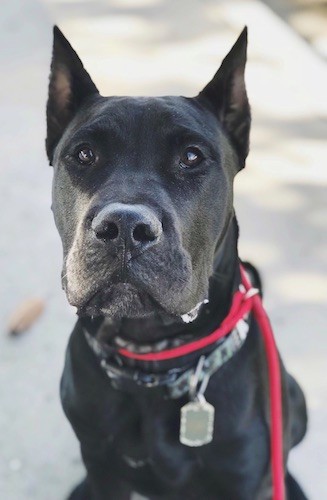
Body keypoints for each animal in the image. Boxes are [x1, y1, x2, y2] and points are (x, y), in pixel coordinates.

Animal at [46, 27, 310, 500]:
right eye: (84, 154)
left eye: (192, 156)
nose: (125, 226)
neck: (153, 364)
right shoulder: (102, 466)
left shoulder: (244, 478)